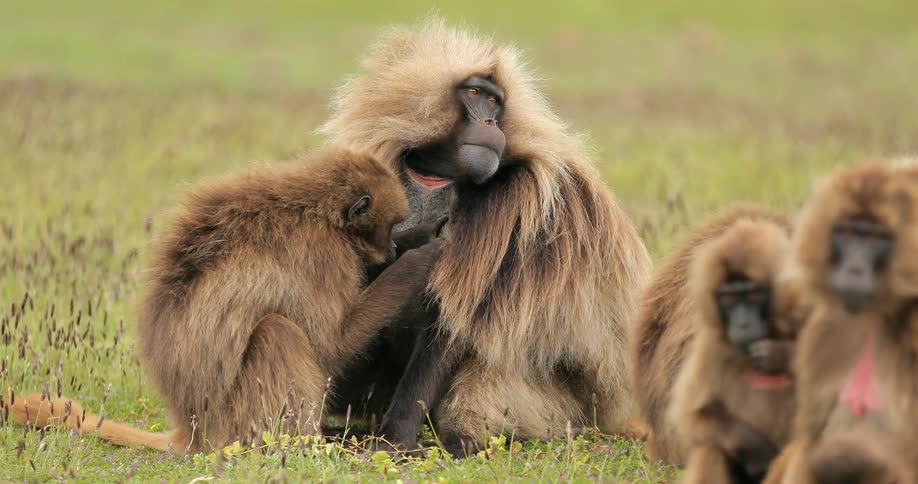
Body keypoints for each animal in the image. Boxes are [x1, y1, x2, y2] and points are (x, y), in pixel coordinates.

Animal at [4, 147, 446, 451]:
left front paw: (418, 239)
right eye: (387, 226)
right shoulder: (324, 255)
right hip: (238, 417)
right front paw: (420, 257)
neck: (316, 208)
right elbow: (331, 344)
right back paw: (308, 442)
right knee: (278, 331)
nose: (392, 249)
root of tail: (193, 426)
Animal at [317, 19, 652, 454]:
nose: (491, 124)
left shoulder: (512, 200)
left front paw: (396, 441)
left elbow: (453, 321)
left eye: (496, 102)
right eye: (475, 94)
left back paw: (458, 440)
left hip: (565, 403)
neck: (435, 177)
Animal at [669, 218, 804, 484]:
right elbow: (691, 418)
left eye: (753, 294)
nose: (742, 324)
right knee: (710, 449)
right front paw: (755, 449)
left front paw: (779, 354)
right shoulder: (710, 347)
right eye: (729, 298)